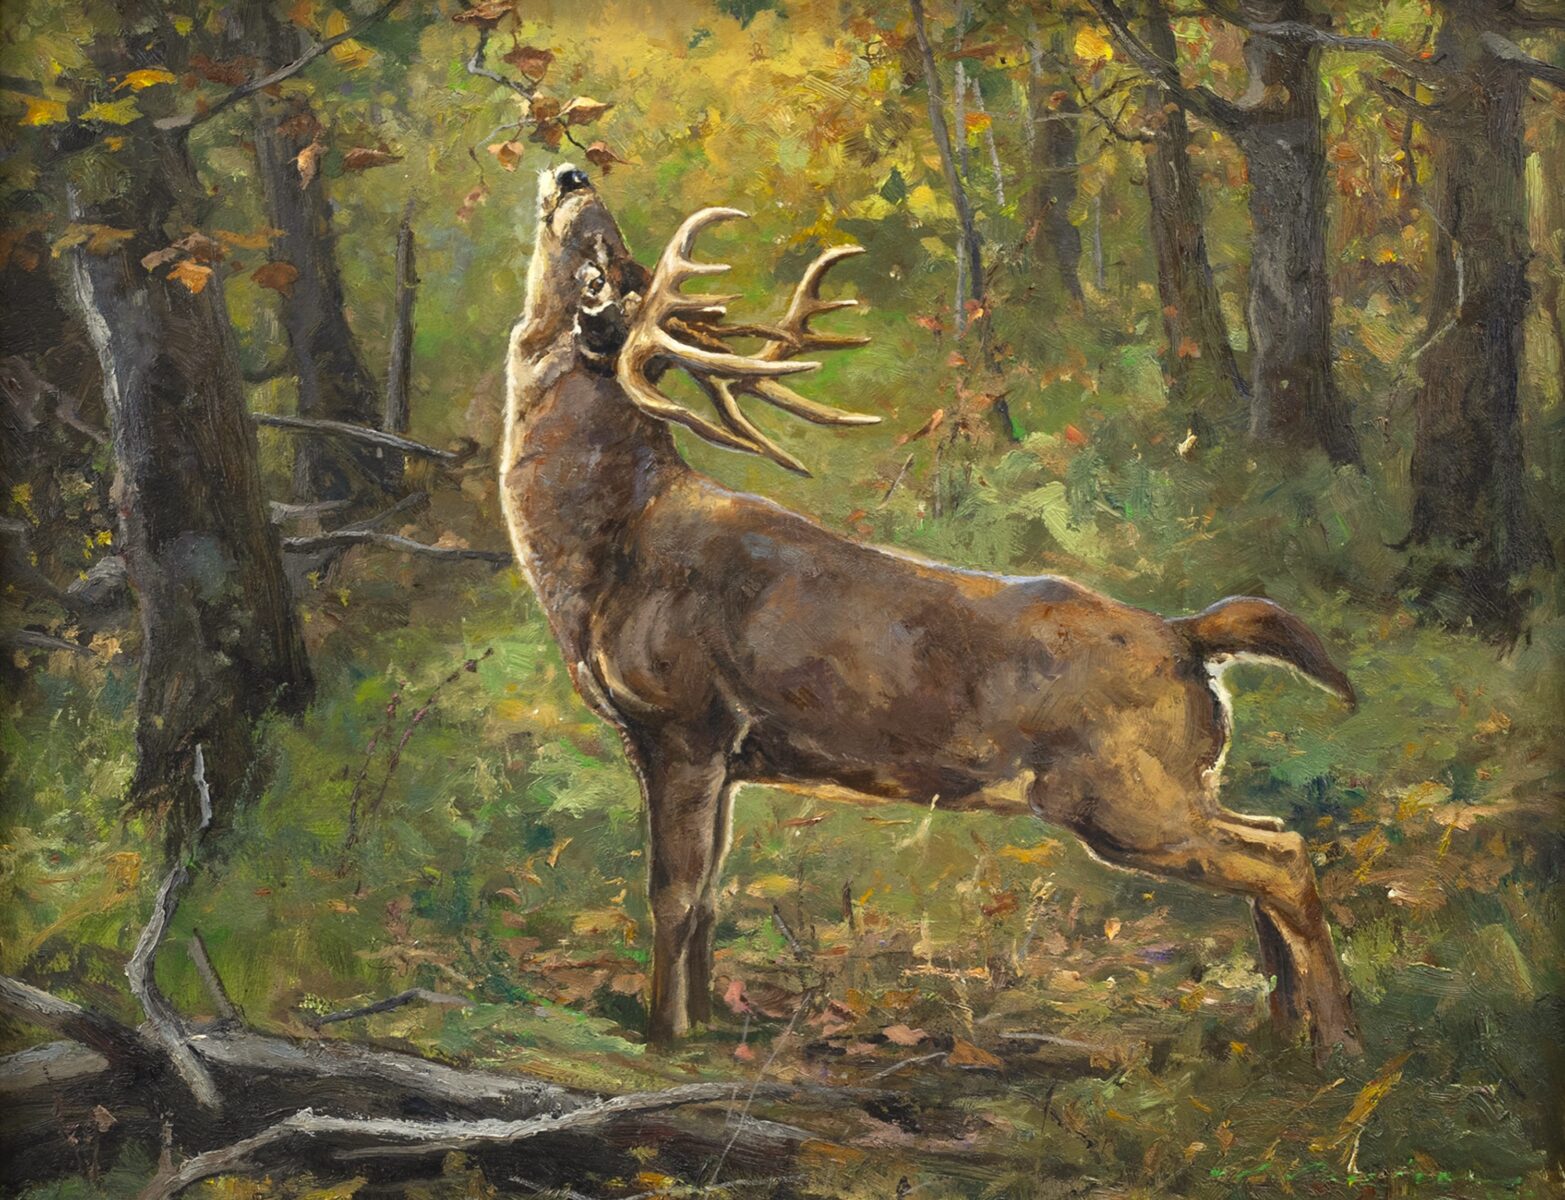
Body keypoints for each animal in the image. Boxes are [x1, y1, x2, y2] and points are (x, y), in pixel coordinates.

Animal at [500, 162, 1363, 1060]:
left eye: (601, 273)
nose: (572, 173)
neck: (605, 550)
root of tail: (1185, 637)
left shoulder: (685, 719)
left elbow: (672, 893)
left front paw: (664, 1036)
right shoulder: (697, 749)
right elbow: (705, 896)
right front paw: (701, 1024)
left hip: (1124, 794)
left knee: (1284, 856)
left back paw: (1338, 1042)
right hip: (1165, 787)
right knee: (1272, 838)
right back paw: (1286, 1030)